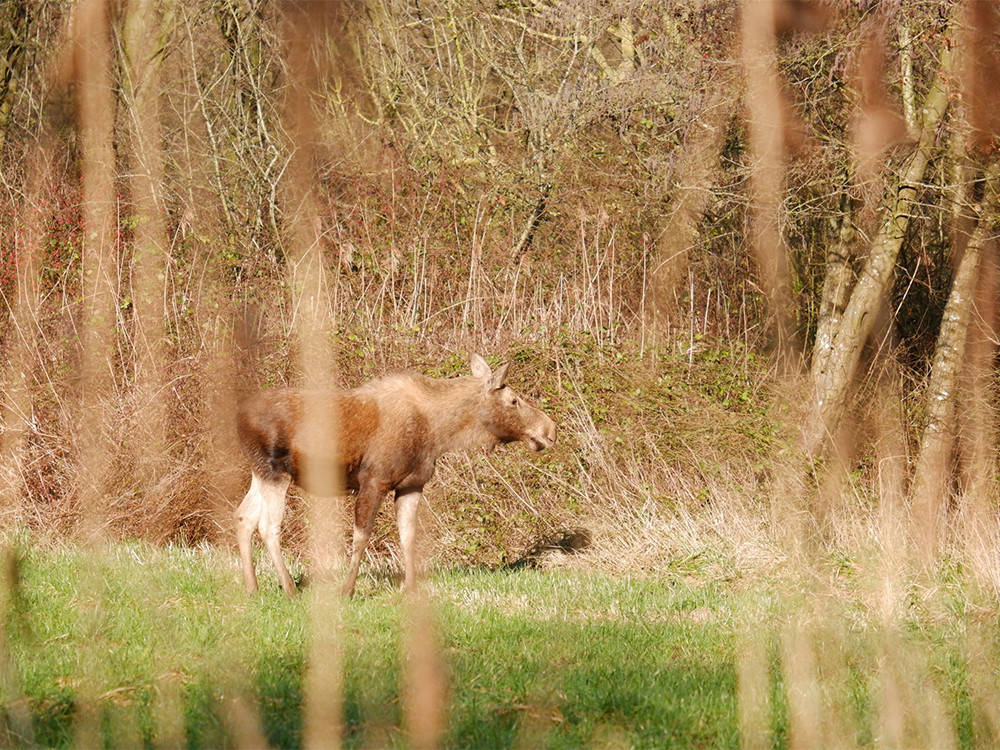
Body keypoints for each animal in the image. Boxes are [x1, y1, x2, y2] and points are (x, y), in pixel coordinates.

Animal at [237, 354, 560, 600]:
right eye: (514, 400)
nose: (550, 430)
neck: (439, 432)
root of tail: (237, 419)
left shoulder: (412, 484)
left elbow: (408, 535)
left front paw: (409, 588)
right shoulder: (374, 481)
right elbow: (361, 537)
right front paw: (347, 590)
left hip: (259, 472)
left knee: (243, 516)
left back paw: (252, 587)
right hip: (274, 471)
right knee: (267, 526)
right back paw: (289, 589)